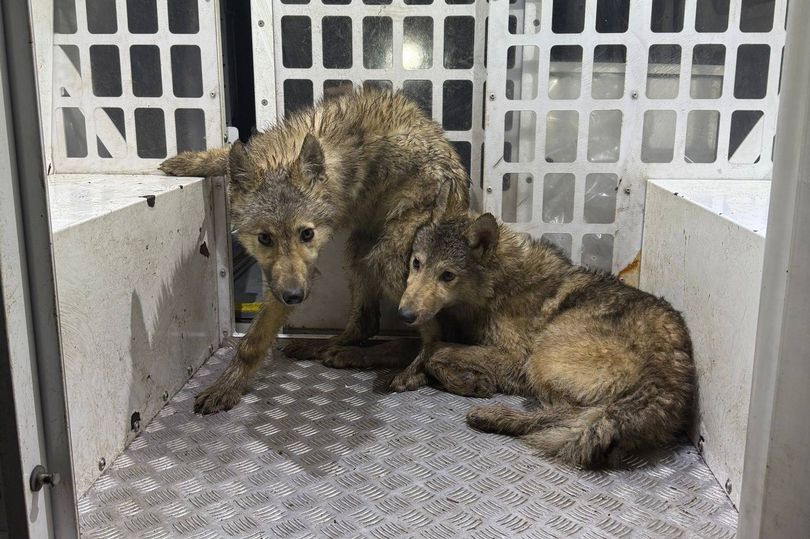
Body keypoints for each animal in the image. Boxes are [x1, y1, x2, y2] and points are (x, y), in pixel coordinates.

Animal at [160, 88, 469, 413]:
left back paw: (414, 370)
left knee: (434, 330)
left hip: (388, 260)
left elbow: (252, 342)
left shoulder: (292, 281)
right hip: (359, 250)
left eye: (306, 234)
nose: (295, 296)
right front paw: (188, 161)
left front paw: (227, 386)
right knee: (364, 324)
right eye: (264, 238)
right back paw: (325, 347)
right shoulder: (281, 280)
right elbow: (228, 153)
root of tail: (462, 202)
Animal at [395, 213, 696, 468]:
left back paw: (495, 416)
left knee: (568, 414)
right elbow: (432, 350)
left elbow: (436, 350)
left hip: (540, 360)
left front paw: (464, 380)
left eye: (447, 275)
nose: (404, 315)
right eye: (417, 263)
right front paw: (413, 374)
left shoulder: (516, 361)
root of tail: (665, 382)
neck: (498, 284)